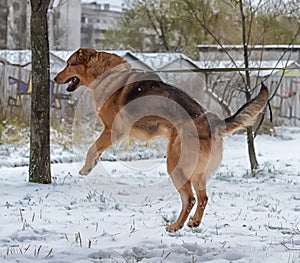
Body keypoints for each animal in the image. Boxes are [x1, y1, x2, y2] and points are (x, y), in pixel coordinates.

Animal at [54, 48, 270, 232]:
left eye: (69, 64)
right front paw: (92, 164)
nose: (54, 78)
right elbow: (96, 149)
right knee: (203, 198)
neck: (106, 74)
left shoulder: (113, 130)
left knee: (190, 199)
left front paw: (86, 168)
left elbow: (92, 147)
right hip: (197, 173)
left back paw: (175, 226)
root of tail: (214, 122)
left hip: (175, 164)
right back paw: (194, 222)